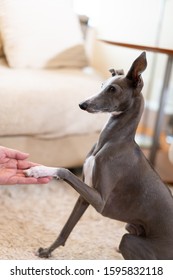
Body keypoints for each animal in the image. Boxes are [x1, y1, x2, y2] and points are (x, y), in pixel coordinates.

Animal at [25, 53, 173, 260]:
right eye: (102, 84)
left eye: (112, 89)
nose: (82, 104)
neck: (112, 141)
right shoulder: (84, 197)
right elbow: (65, 231)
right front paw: (47, 251)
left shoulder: (101, 201)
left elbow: (64, 170)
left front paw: (39, 170)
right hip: (131, 228)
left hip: (130, 240)